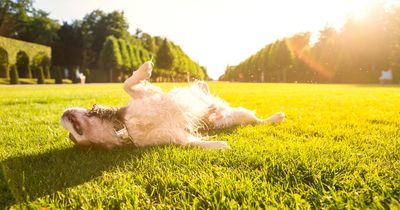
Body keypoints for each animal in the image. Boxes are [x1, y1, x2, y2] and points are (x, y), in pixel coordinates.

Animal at [60, 61, 284, 149]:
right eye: (74, 136)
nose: (62, 115)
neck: (127, 126)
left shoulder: (147, 94)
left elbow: (127, 83)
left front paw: (144, 69)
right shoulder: (177, 137)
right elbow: (195, 143)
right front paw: (219, 145)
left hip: (238, 112)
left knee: (259, 120)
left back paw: (276, 116)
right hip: (234, 117)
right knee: (256, 121)